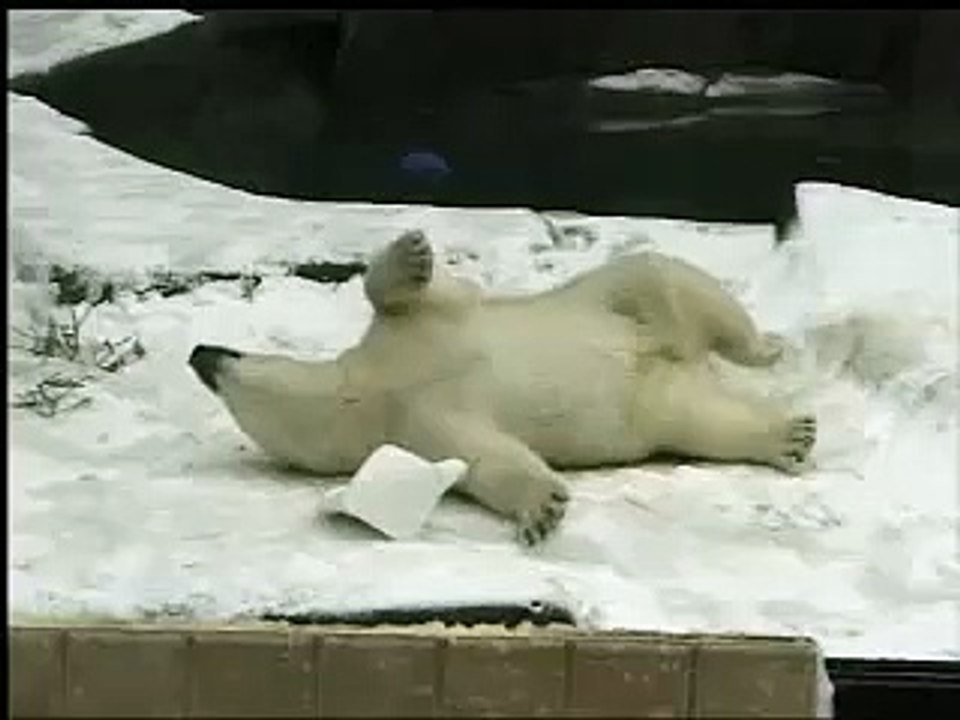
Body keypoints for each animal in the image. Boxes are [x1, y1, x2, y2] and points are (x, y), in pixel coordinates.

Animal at [189, 229, 816, 545]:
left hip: (615, 301)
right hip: (654, 402)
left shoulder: (429, 331)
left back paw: (768, 347)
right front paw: (544, 508)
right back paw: (791, 435)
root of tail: (680, 355)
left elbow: (415, 294)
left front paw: (412, 252)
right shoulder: (425, 428)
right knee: (705, 421)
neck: (382, 389)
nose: (200, 353)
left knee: (662, 277)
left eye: (229, 361)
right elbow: (490, 460)